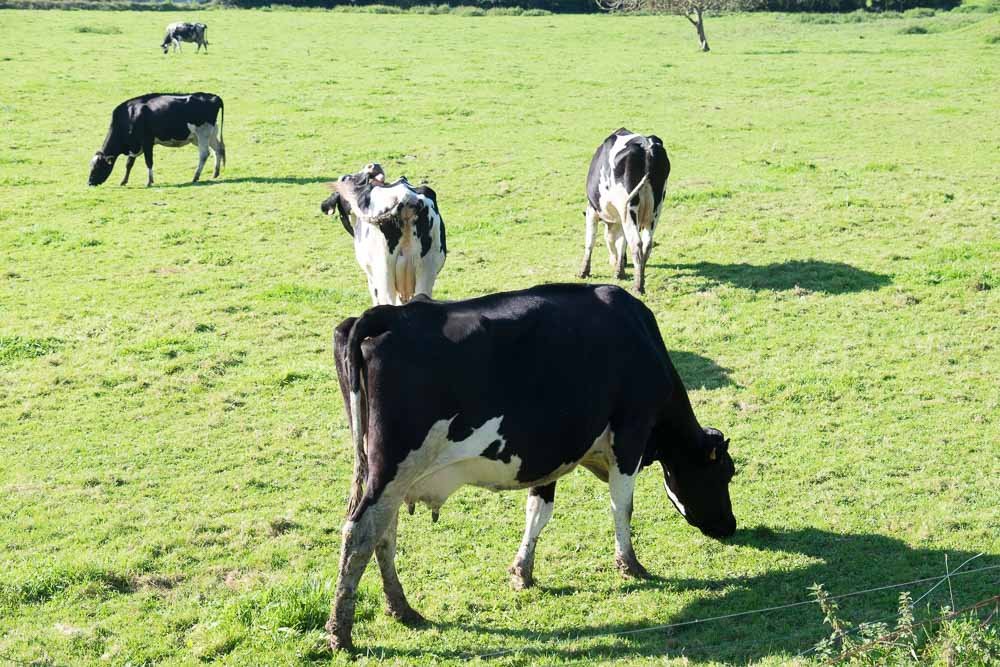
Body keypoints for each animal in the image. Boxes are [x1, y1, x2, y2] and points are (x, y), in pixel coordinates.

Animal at [88, 90, 225, 187]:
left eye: (97, 167)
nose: (89, 183)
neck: (130, 115)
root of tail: (214, 96)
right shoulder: (135, 145)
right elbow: (129, 164)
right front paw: (124, 181)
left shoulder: (147, 142)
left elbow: (149, 161)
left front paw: (149, 181)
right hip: (208, 134)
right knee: (218, 149)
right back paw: (215, 173)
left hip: (203, 134)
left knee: (204, 154)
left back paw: (195, 177)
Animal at [320, 164, 446, 306]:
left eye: (344, 178)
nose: (373, 165)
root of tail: (406, 198)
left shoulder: (371, 276)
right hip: (426, 268)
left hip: (384, 273)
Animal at [328, 282, 736, 652]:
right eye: (725, 474)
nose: (729, 526)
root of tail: (385, 314)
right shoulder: (630, 433)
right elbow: (622, 506)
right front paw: (630, 564)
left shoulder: (549, 455)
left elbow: (538, 512)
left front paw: (522, 572)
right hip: (393, 466)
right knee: (360, 533)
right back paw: (340, 634)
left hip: (380, 472)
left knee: (383, 533)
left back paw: (401, 608)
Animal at [580, 129, 672, 294]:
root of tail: (647, 145)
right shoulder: (620, 217)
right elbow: (621, 242)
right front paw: (619, 270)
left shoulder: (592, 210)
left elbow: (590, 240)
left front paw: (584, 271)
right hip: (654, 211)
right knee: (647, 244)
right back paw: (640, 279)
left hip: (630, 208)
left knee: (636, 243)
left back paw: (638, 287)